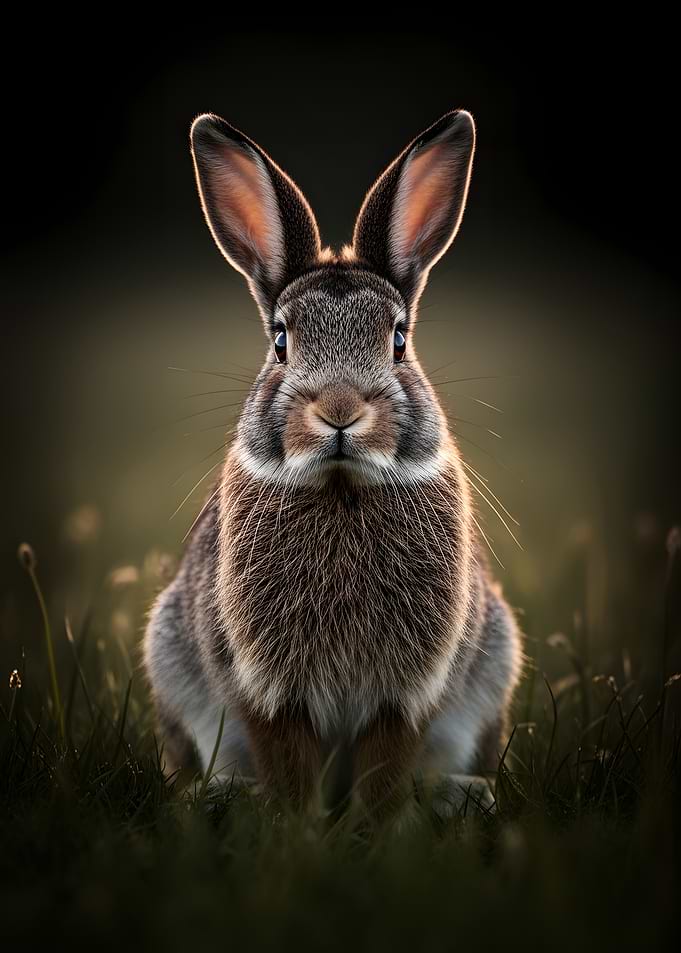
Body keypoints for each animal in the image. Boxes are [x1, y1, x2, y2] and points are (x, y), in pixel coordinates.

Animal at [143, 107, 524, 823]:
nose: (340, 410)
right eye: (280, 341)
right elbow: (288, 762)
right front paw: (296, 828)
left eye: (399, 340)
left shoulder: (406, 695)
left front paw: (374, 828)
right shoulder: (264, 688)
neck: (342, 488)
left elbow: (385, 765)